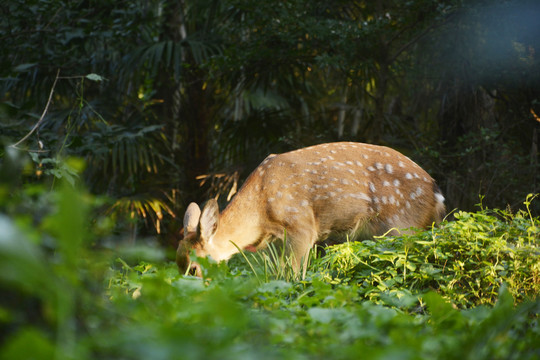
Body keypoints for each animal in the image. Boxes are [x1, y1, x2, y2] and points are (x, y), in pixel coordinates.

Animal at [175, 142, 446, 278]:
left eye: (193, 269)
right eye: (177, 266)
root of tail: (436, 192)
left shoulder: (302, 226)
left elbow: (293, 274)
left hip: (402, 226)